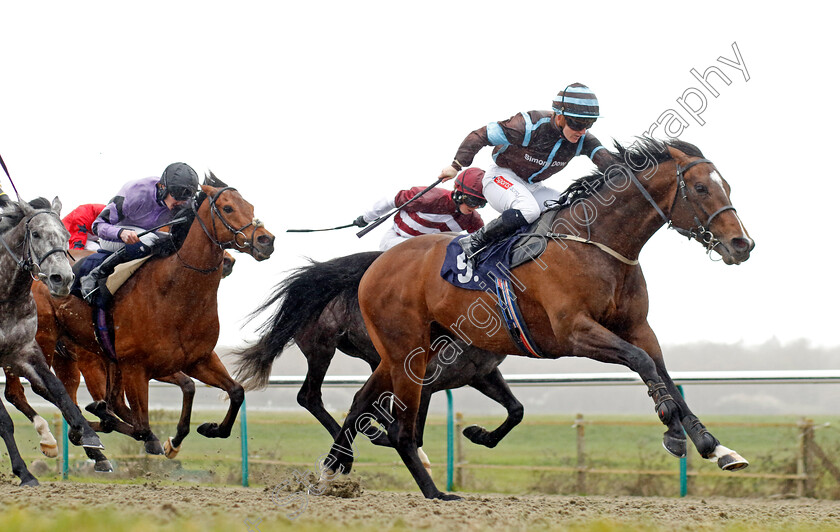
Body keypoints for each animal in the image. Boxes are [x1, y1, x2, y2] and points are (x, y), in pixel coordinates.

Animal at [326, 138, 756, 498]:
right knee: (391, 416)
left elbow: (662, 371)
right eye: (700, 188)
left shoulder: (638, 328)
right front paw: (673, 432)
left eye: (727, 186)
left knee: (361, 399)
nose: (742, 244)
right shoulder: (575, 332)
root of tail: (378, 262)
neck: (595, 243)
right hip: (407, 349)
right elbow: (643, 364)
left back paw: (334, 468)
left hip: (407, 351)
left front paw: (715, 446)